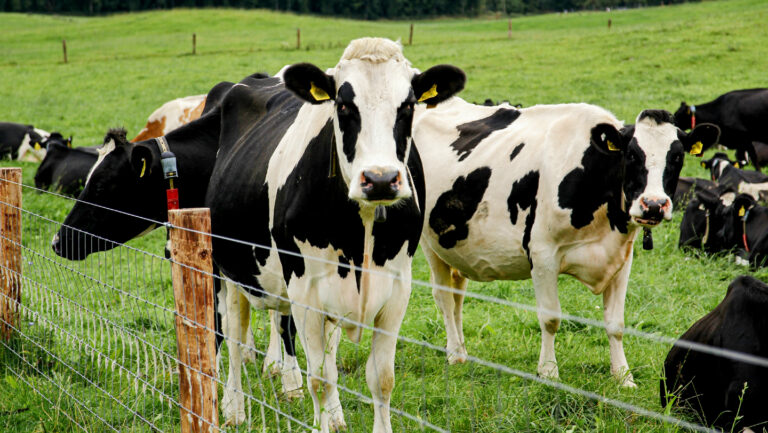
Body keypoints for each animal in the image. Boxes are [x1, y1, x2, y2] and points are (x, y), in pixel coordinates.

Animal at [204, 38, 465, 431]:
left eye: (407, 106)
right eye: (343, 105)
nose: (380, 179)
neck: (362, 230)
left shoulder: (398, 288)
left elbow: (380, 378)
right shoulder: (305, 291)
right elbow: (320, 379)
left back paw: (334, 416)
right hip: (228, 268)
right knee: (233, 336)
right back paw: (234, 408)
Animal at [412, 100, 720, 387]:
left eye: (677, 156)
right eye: (632, 155)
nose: (654, 205)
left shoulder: (622, 257)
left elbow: (616, 324)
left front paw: (623, 377)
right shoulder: (543, 254)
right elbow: (550, 318)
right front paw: (549, 372)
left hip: (455, 247)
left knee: (457, 296)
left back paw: (462, 350)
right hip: (429, 242)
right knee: (443, 296)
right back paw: (454, 353)